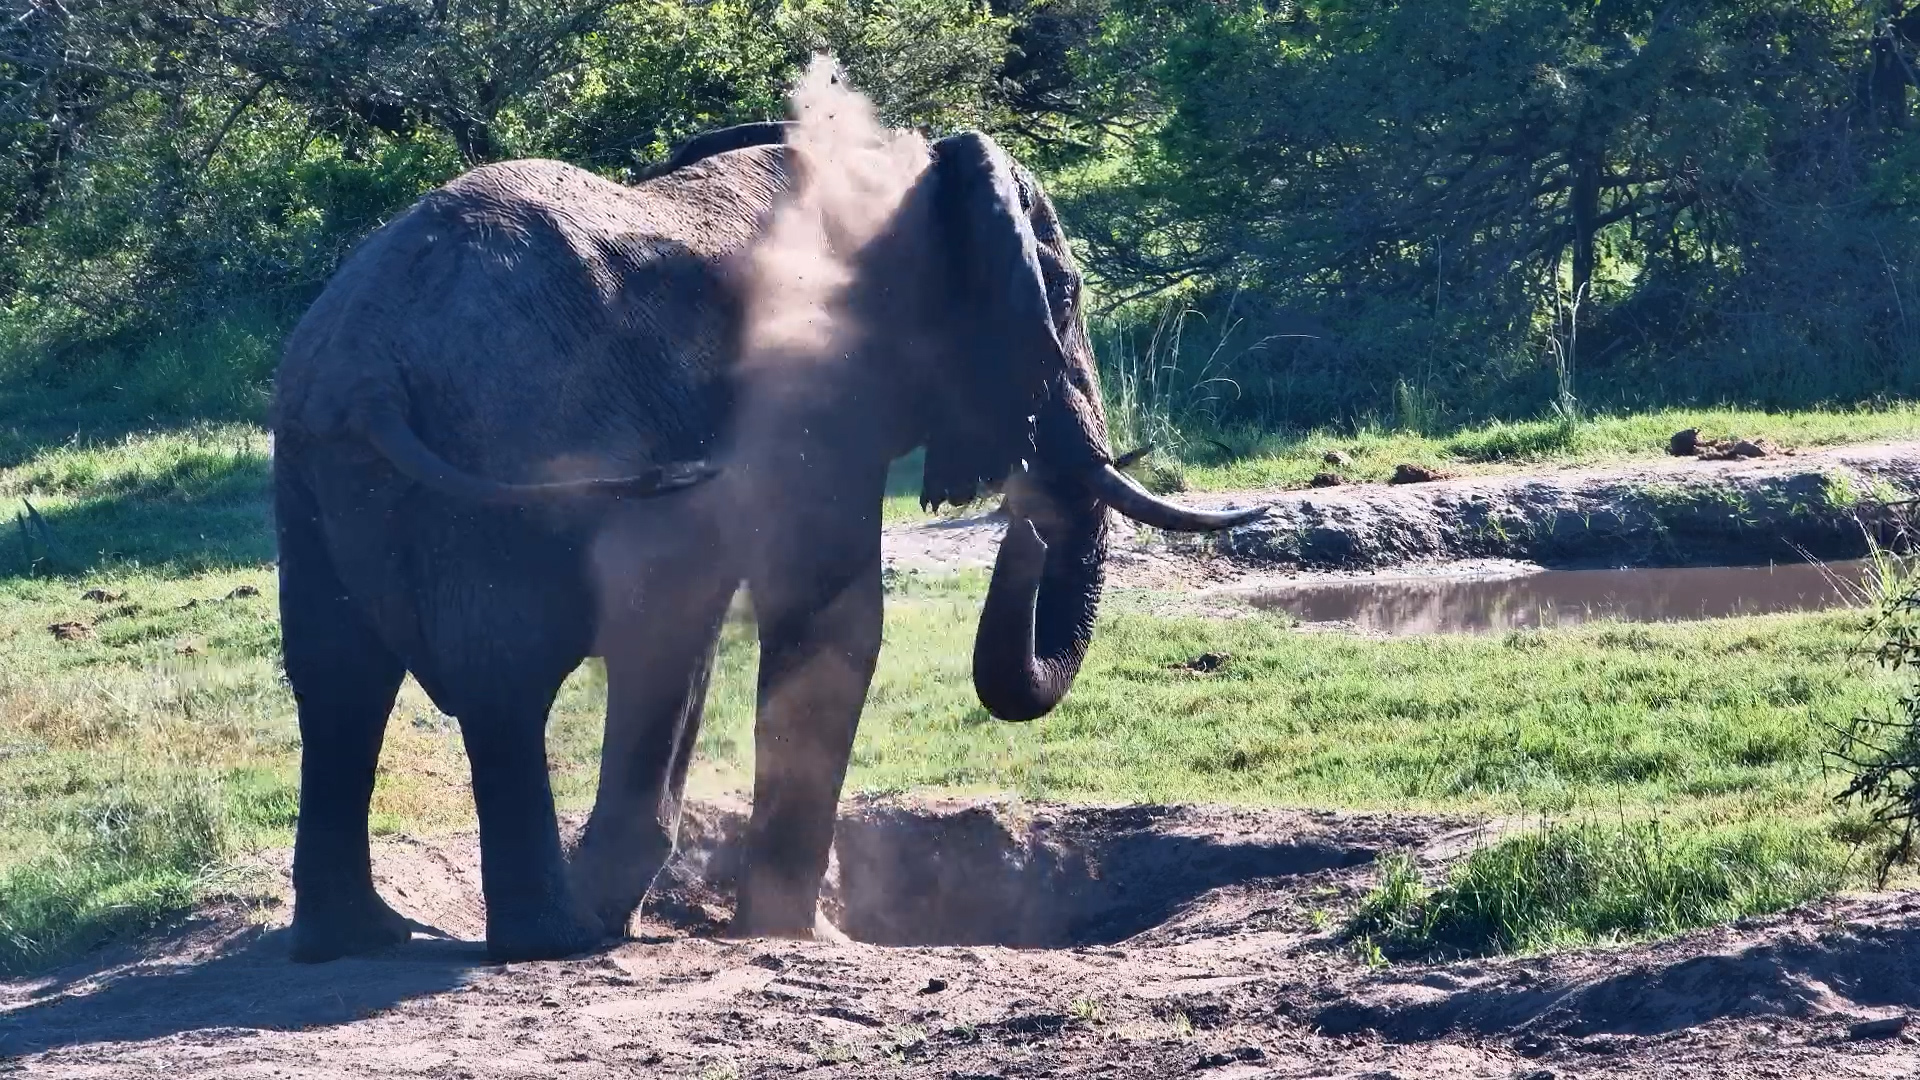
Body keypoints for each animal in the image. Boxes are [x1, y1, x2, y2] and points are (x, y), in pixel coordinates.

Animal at [271, 112, 1265, 964]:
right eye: (1070, 293)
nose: (1024, 516)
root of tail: (365, 370)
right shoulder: (820, 397)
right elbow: (834, 620)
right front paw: (797, 936)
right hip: (505, 454)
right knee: (514, 682)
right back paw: (557, 939)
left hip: (311, 470)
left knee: (339, 683)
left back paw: (367, 938)